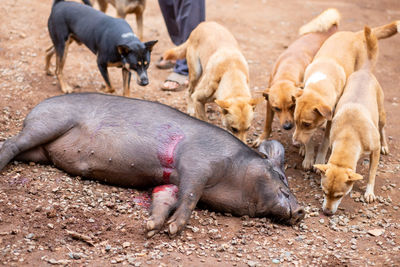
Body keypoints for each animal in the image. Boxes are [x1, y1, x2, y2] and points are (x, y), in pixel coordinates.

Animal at [0, 93, 304, 238]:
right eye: (281, 177)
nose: (301, 210)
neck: (231, 176)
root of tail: (34, 109)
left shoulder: (171, 180)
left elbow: (167, 196)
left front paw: (151, 226)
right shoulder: (198, 163)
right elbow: (191, 196)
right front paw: (172, 230)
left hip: (42, 151)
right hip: (48, 123)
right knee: (10, 142)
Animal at [253, 8, 340, 148]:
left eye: (292, 106)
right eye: (277, 108)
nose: (288, 126)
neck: (287, 68)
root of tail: (332, 26)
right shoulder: (269, 105)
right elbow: (267, 123)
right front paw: (263, 137)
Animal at [292, 22, 398, 171]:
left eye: (307, 124)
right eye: (295, 121)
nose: (294, 142)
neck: (321, 81)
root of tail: (354, 34)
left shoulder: (332, 119)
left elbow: (325, 142)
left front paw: (319, 160)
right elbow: (309, 140)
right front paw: (308, 156)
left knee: (381, 128)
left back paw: (383, 145)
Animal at [314, 26, 390, 216]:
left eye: (340, 195)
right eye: (324, 192)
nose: (327, 212)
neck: (350, 134)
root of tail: (365, 70)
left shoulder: (374, 150)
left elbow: (372, 173)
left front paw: (369, 192)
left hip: (381, 114)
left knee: (382, 128)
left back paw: (386, 144)